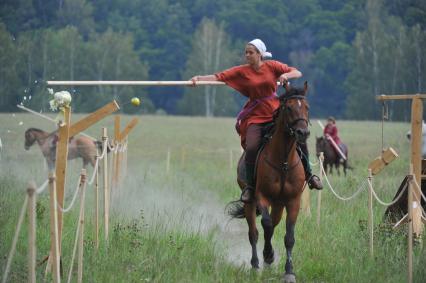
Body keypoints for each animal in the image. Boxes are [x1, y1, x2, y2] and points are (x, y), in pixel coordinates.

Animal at [228, 82, 312, 283]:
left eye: (307, 108)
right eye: (288, 107)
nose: (303, 133)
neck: (283, 161)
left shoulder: (293, 201)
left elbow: (289, 236)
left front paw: (289, 271)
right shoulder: (262, 197)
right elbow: (265, 225)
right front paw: (268, 255)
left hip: (279, 204)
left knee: (273, 224)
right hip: (250, 202)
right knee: (255, 232)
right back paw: (257, 264)